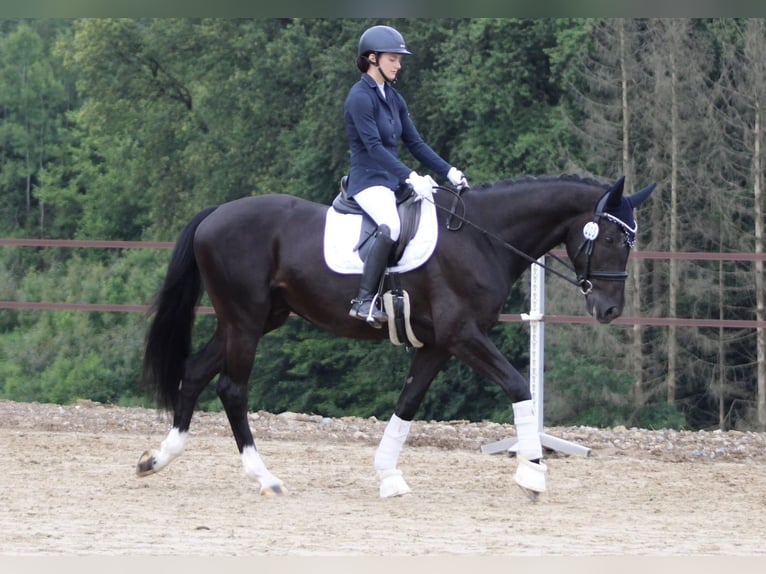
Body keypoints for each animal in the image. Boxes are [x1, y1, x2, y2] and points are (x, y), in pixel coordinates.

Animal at [136, 174, 656, 500]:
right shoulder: (463, 336)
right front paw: (531, 476)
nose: (609, 310)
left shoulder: (438, 346)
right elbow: (517, 387)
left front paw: (389, 477)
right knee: (232, 388)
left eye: (631, 241)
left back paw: (159, 457)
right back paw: (265, 477)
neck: (482, 237)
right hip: (245, 320)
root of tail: (216, 213)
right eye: (612, 239)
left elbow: (407, 404)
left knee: (195, 372)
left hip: (255, 319)